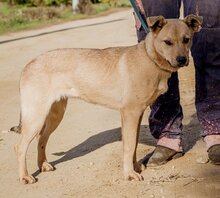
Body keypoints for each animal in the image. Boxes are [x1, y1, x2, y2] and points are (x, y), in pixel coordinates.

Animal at [12, 14, 202, 184]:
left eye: (186, 39)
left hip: (54, 115)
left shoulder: (135, 115)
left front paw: (134, 167)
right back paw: (25, 176)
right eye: (167, 42)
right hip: (36, 116)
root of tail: (29, 64)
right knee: (20, 146)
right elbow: (129, 146)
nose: (182, 60)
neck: (150, 58)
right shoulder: (130, 113)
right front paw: (130, 174)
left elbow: (132, 145)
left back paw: (43, 165)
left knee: (41, 139)